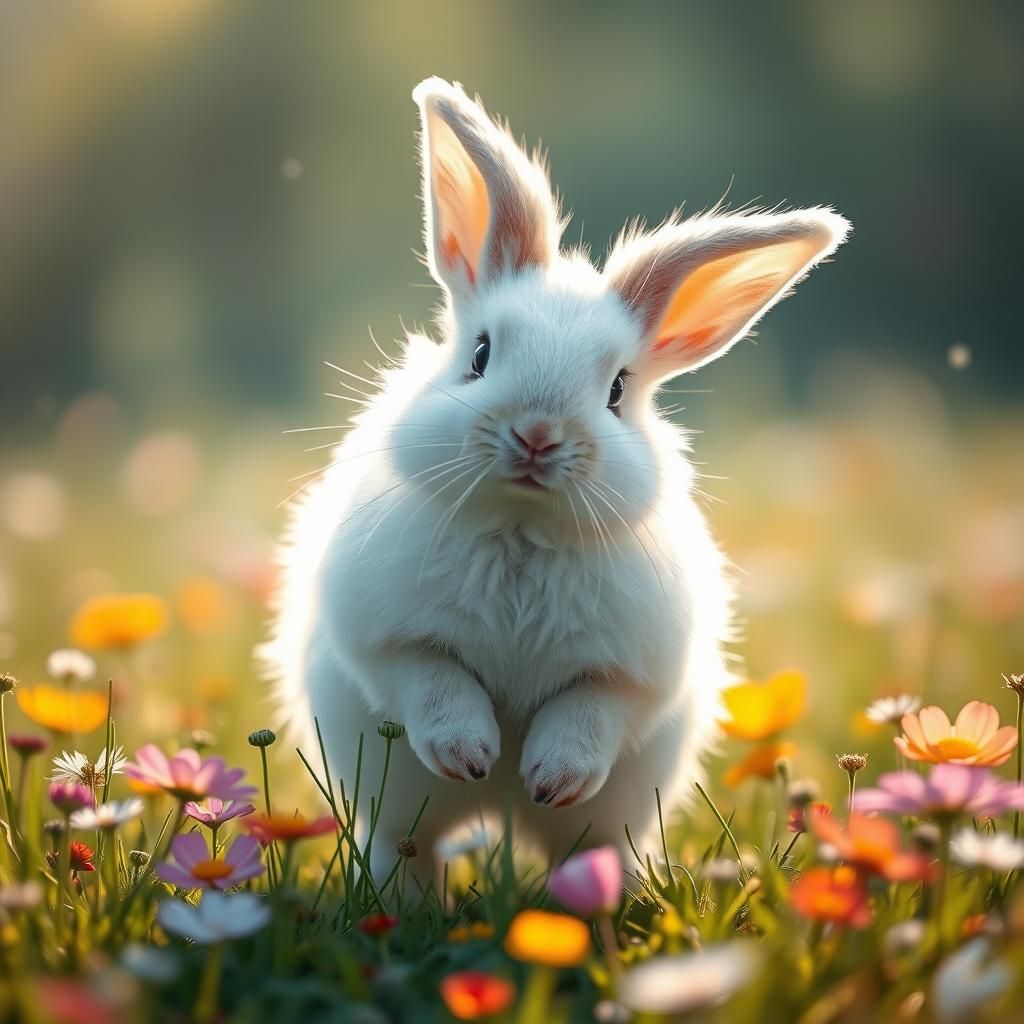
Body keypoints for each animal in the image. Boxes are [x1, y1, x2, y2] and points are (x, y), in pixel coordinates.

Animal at [260, 77, 850, 885]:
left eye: (618, 390)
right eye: (479, 355)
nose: (538, 434)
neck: (521, 524)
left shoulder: (628, 676)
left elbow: (588, 714)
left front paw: (550, 776)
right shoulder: (389, 640)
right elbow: (433, 684)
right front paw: (470, 752)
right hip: (396, 819)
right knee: (406, 849)